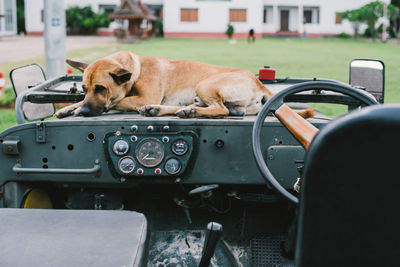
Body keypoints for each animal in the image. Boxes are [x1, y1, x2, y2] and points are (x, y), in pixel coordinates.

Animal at [54, 51, 314, 119]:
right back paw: (167, 110)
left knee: (221, 109)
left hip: (205, 84)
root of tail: (258, 82)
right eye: (85, 89)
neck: (136, 69)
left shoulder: (143, 96)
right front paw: (71, 108)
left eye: (101, 88)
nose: (85, 112)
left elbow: (118, 101)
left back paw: (187, 112)